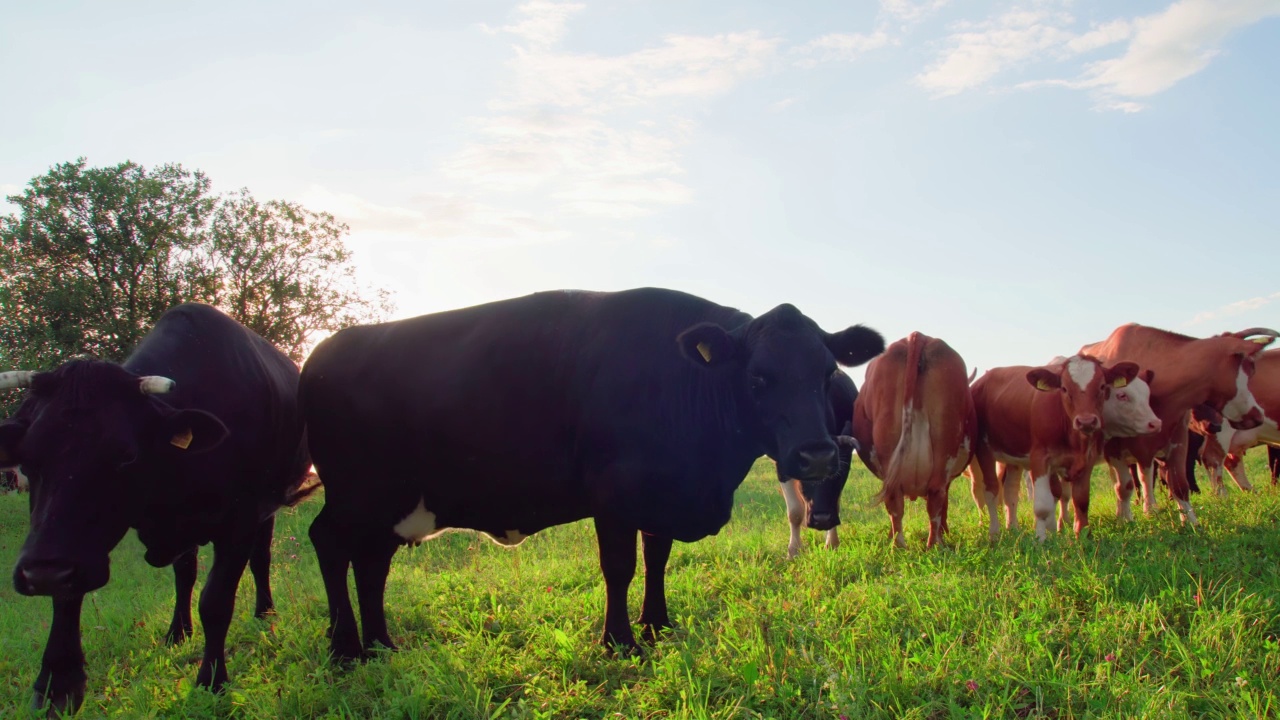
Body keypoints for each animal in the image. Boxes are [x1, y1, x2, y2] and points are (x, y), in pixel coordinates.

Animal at [0, 302, 309, 712]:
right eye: (28, 458)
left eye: (126, 456)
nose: (42, 573)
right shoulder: (72, 544)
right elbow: (67, 598)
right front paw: (57, 685)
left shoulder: (240, 519)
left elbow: (216, 601)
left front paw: (212, 679)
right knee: (185, 573)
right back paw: (178, 632)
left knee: (260, 560)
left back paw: (264, 612)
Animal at [300, 285, 885, 655]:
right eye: (758, 377)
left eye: (826, 372)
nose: (816, 455)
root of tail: (322, 351)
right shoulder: (614, 495)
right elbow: (620, 567)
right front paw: (620, 642)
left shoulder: (659, 494)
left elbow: (658, 560)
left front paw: (657, 626)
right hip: (355, 494)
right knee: (329, 543)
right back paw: (345, 649)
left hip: (386, 506)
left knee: (371, 564)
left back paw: (381, 645)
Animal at [855, 330, 972, 543]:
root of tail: (917, 336)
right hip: (944, 446)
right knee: (934, 497)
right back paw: (933, 543)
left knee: (897, 501)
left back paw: (903, 544)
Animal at [967, 353, 1141, 538]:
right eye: (1064, 389)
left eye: (1102, 386)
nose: (1086, 421)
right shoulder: (1039, 459)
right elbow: (1043, 505)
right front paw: (1041, 538)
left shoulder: (1087, 460)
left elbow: (1081, 500)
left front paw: (1082, 534)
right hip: (984, 451)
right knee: (991, 490)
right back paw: (994, 533)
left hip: (1013, 456)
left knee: (1010, 492)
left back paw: (1013, 528)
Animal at [1080, 324, 1269, 520]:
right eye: (1251, 369)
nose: (1258, 415)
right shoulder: (1118, 448)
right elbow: (1126, 485)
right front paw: (1132, 516)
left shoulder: (1178, 439)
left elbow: (1179, 484)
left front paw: (1191, 522)